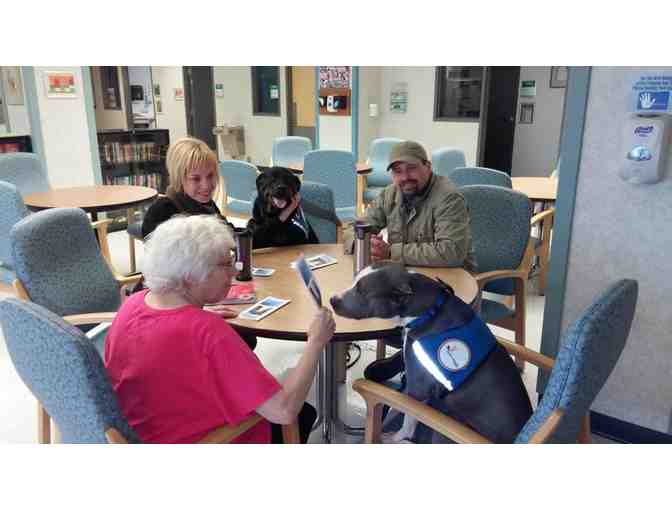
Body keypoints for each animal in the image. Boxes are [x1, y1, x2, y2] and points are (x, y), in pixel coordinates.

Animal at [330, 262, 533, 443]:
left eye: (362, 291)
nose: (332, 299)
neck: (430, 311)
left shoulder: (417, 387)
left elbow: (407, 418)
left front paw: (396, 437)